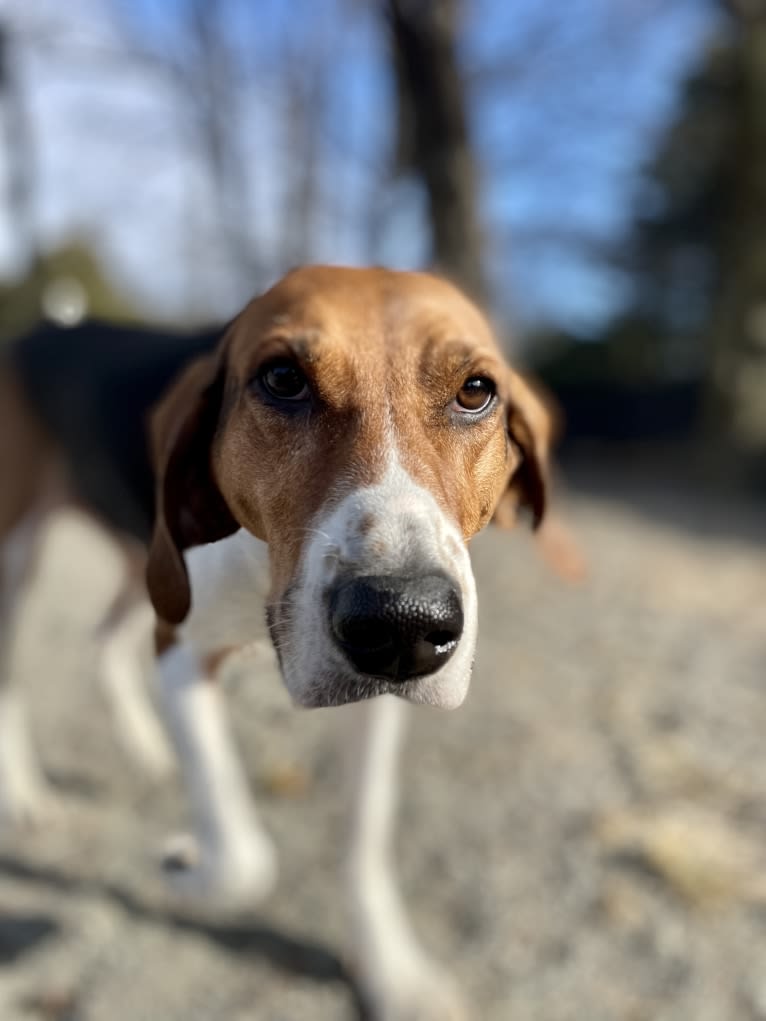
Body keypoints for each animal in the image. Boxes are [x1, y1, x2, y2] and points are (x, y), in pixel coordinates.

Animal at [1, 265, 576, 1021]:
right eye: (282, 379)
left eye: (476, 390)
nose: (402, 620)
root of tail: (43, 328)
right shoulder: (183, 650)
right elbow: (244, 856)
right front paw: (185, 866)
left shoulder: (374, 701)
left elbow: (365, 831)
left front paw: (391, 970)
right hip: (18, 556)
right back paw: (25, 795)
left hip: (146, 568)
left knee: (104, 639)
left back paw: (146, 748)